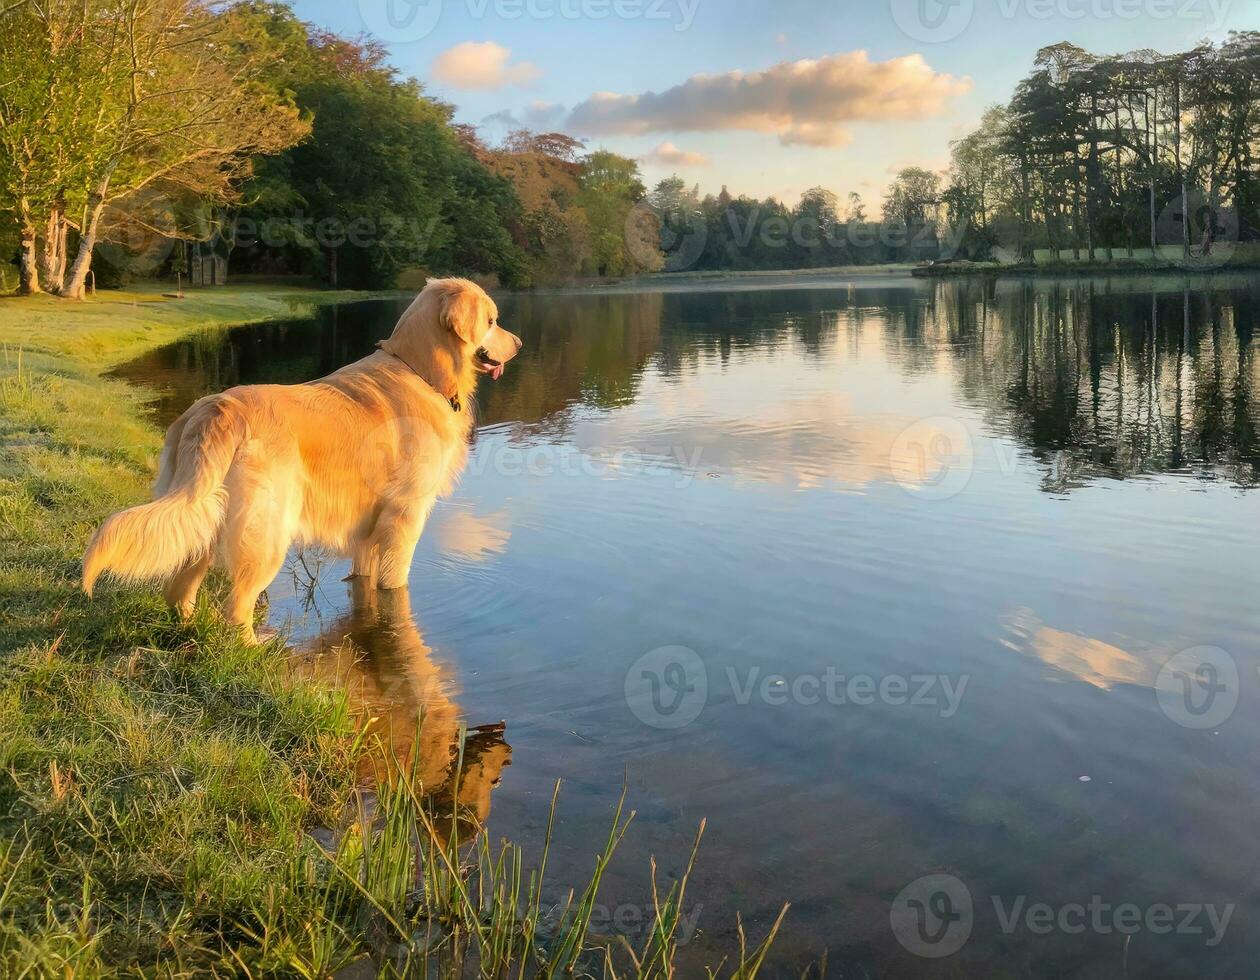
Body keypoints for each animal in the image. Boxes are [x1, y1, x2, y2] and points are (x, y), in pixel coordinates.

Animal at [81, 277, 521, 642]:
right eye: (492, 320)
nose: (518, 344)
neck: (420, 371)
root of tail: (216, 410)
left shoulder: (367, 525)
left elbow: (363, 576)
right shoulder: (405, 516)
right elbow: (395, 582)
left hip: (200, 514)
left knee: (178, 588)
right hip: (267, 533)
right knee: (235, 609)